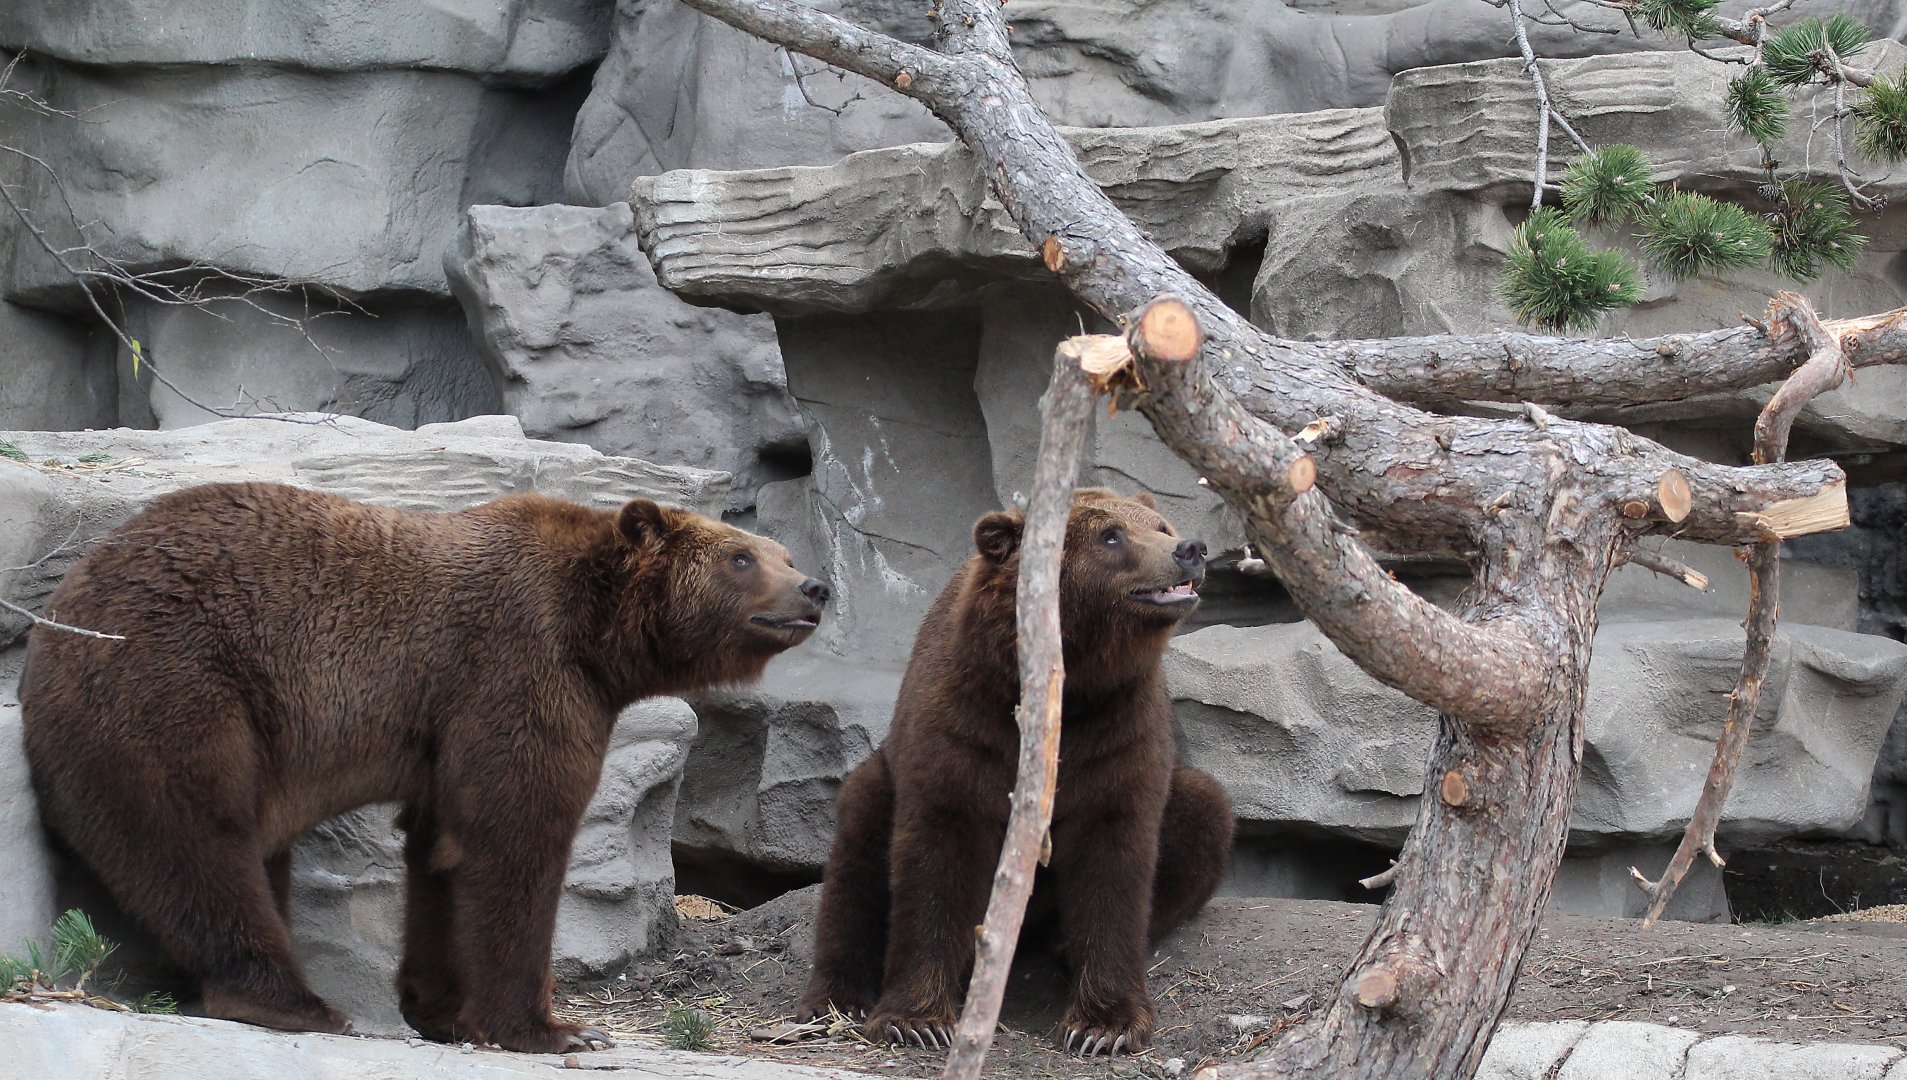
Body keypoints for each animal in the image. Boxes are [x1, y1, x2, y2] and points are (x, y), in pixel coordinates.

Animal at [20, 480, 829, 1054]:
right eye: (740, 557)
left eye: (783, 554)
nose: (815, 588)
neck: (599, 634)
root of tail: (55, 613)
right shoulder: (518, 662)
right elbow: (515, 832)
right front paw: (556, 1027)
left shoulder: (452, 724)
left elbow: (441, 847)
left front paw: (440, 1007)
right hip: (176, 676)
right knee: (198, 836)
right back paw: (297, 1001)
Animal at [796, 488, 1234, 1056]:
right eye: (1111, 536)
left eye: (1160, 526)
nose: (1190, 549)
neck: (1072, 677)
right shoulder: (969, 721)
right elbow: (938, 855)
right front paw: (916, 1018)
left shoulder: (1116, 729)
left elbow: (1114, 861)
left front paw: (1103, 1025)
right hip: (881, 779)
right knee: (857, 856)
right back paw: (835, 997)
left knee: (1205, 810)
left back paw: (1062, 943)